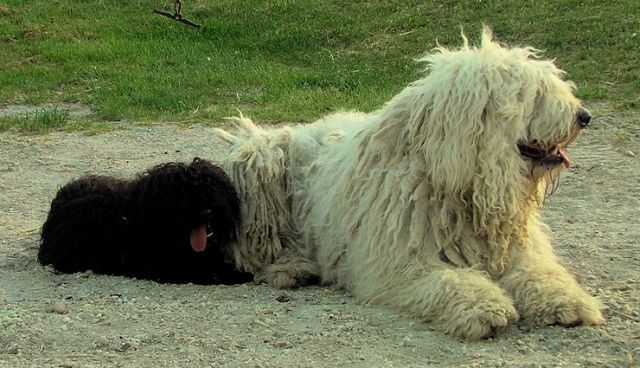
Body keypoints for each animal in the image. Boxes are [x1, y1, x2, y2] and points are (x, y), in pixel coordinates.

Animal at [215, 28, 604, 340]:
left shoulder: (516, 250)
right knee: (253, 252)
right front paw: (483, 306)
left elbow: (540, 273)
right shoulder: (402, 264)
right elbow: (449, 280)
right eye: (534, 94)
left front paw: (567, 301)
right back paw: (290, 269)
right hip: (261, 163)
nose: (584, 116)